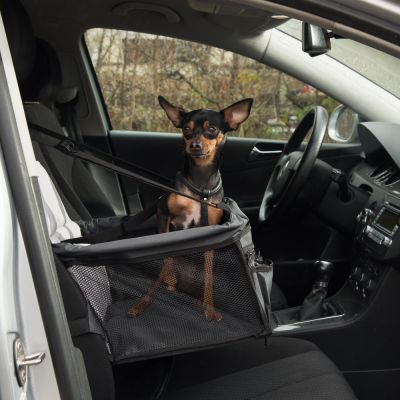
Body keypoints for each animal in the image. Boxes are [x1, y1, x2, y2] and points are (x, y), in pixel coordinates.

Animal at [128, 96, 253, 322]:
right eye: (186, 129)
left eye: (212, 129)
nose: (195, 145)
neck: (201, 185)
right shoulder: (163, 213)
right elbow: (166, 258)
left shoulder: (211, 231)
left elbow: (209, 276)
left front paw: (210, 309)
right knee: (161, 277)